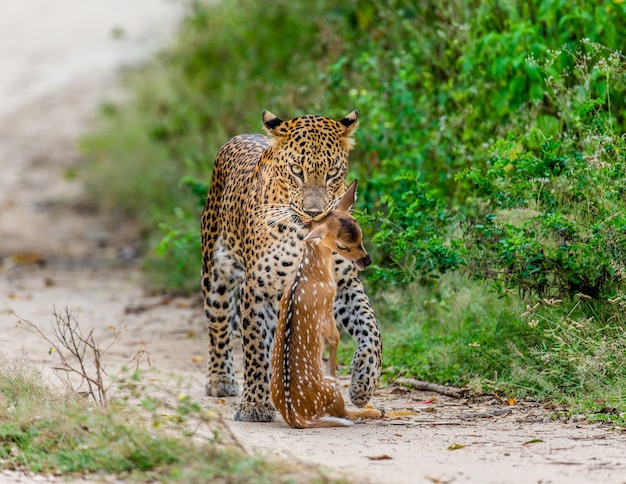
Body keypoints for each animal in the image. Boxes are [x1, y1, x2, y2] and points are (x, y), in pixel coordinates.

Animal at [202, 108, 382, 420]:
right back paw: (221, 379)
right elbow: (254, 348)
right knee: (219, 326)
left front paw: (363, 382)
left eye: (332, 172)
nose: (314, 212)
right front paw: (254, 404)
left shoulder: (343, 284)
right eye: (297, 171)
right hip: (215, 276)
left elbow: (370, 327)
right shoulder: (258, 289)